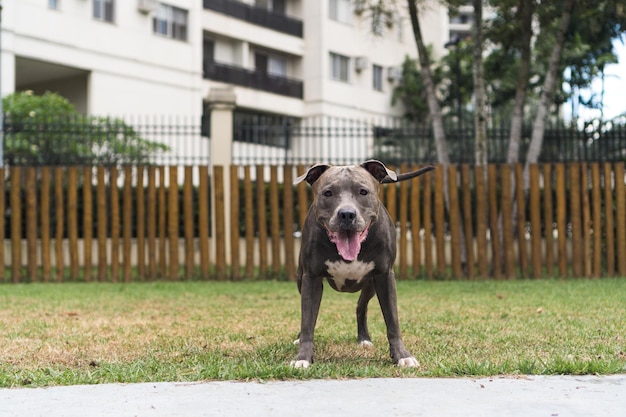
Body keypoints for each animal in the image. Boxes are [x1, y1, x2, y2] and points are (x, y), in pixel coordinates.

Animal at [290, 159, 432, 368]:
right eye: (328, 193)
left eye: (363, 192)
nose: (347, 214)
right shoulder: (311, 279)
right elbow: (307, 320)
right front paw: (302, 357)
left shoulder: (384, 277)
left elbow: (393, 321)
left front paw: (402, 355)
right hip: (301, 280)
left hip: (370, 285)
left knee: (360, 306)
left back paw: (364, 338)